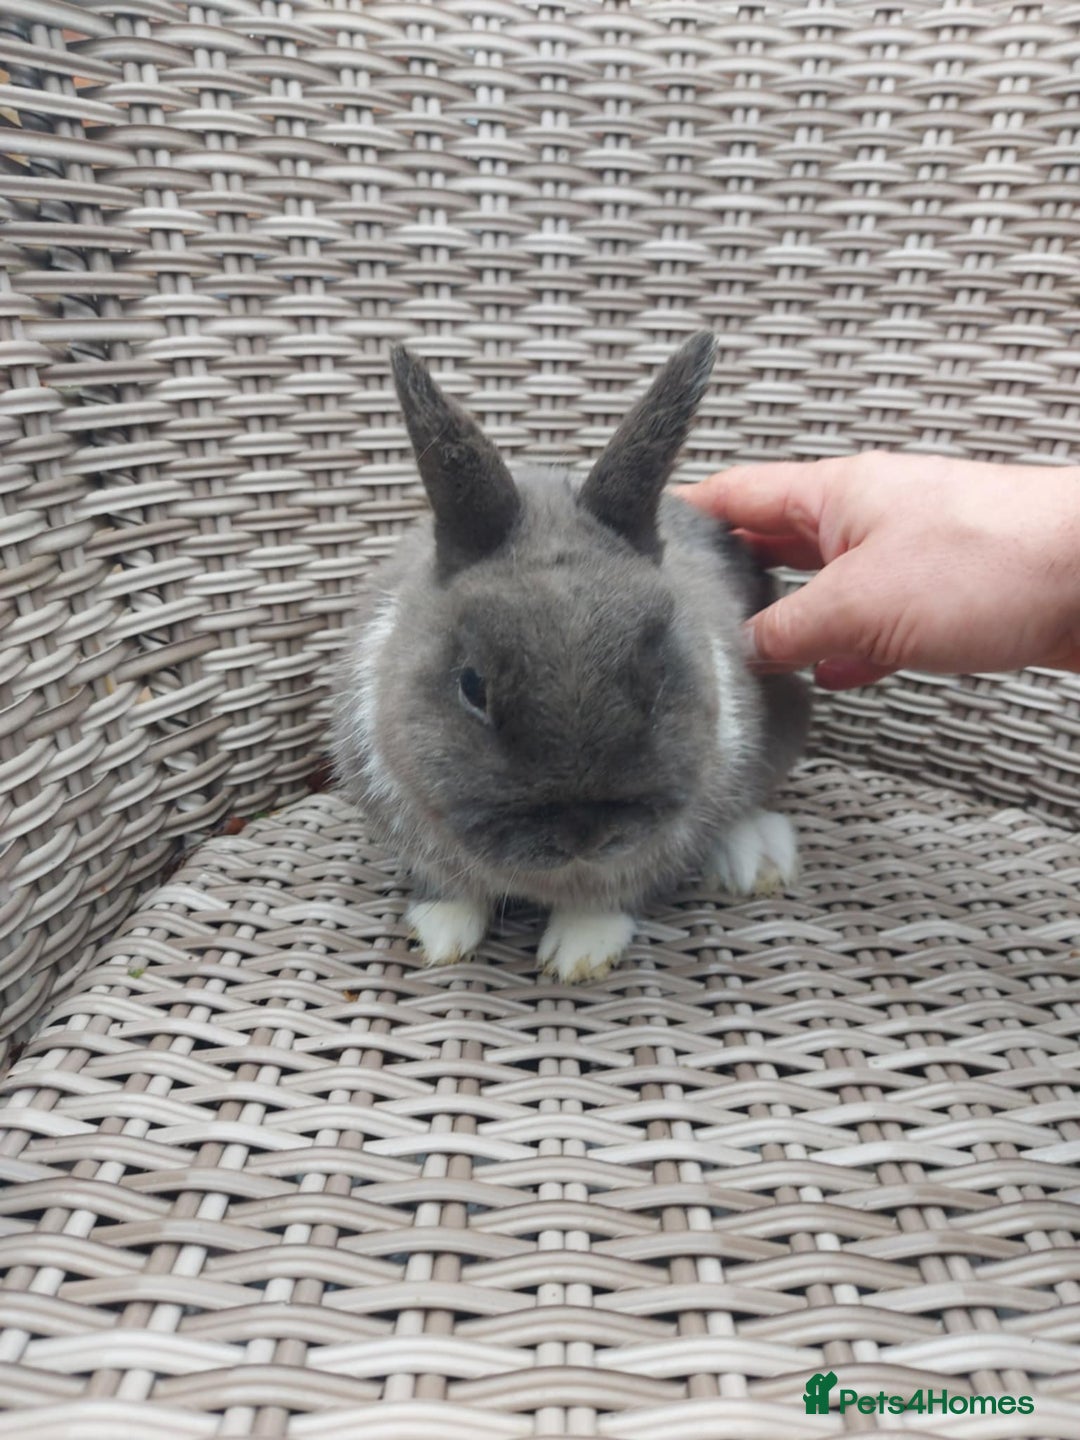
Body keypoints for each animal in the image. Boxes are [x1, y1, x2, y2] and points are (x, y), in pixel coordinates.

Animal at [331, 332, 810, 983]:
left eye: (659, 675)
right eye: (472, 686)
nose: (581, 833)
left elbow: (610, 899)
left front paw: (578, 952)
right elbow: (450, 890)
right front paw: (440, 936)